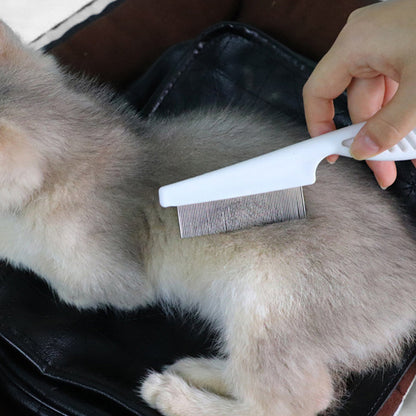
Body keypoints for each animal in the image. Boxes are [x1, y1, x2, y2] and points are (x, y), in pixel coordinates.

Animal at [0, 21, 414, 416]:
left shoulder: (114, 282)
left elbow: (52, 275)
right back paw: (200, 369)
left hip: (264, 303)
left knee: (294, 402)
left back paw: (176, 397)